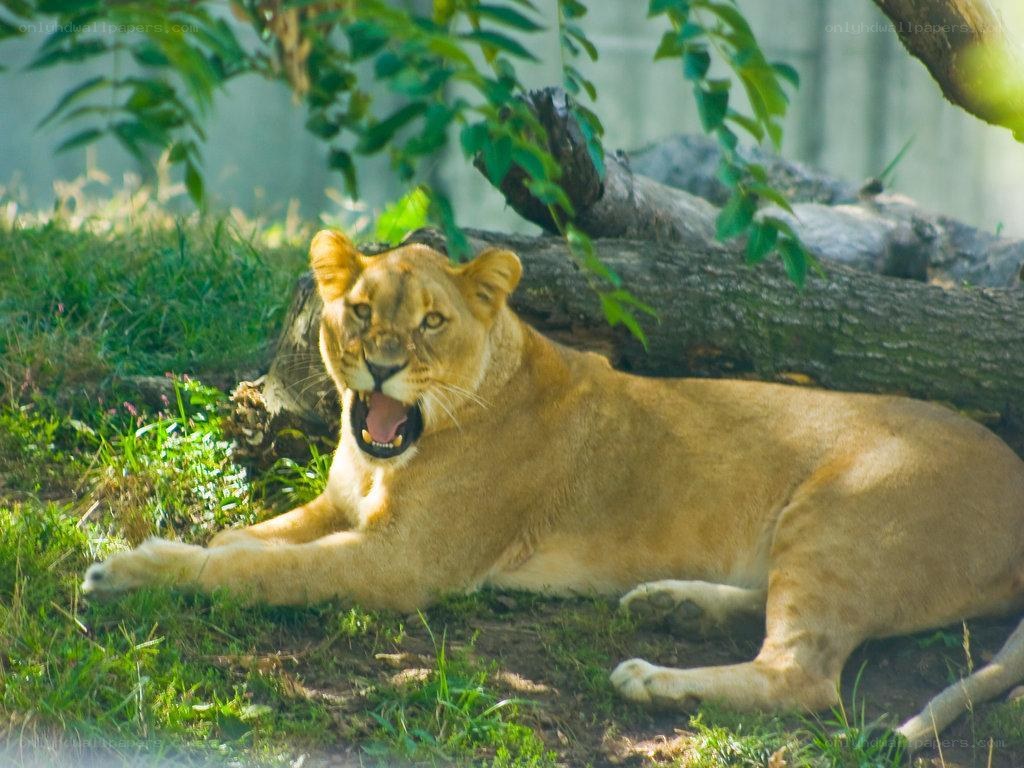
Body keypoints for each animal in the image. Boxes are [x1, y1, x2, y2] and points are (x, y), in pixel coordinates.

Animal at [84, 229, 1024, 748]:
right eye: (358, 311)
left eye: (431, 322)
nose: (382, 365)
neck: (386, 455)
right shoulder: (341, 509)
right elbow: (245, 541)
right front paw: (191, 547)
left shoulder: (403, 564)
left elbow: (254, 571)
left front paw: (130, 570)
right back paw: (671, 605)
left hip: (840, 511)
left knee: (804, 676)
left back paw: (652, 678)